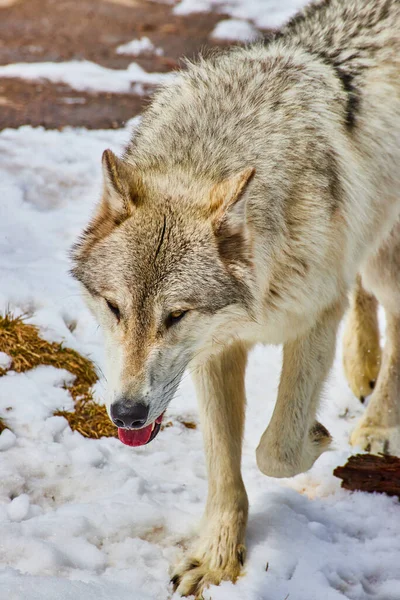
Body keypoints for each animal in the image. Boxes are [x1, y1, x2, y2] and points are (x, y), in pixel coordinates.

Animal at [72, 1, 400, 596]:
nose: (126, 414)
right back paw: (360, 365)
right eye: (115, 308)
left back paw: (379, 425)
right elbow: (223, 469)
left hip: (388, 258)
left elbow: (276, 452)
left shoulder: (315, 318)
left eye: (176, 315)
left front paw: (318, 438)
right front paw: (217, 560)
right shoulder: (217, 350)